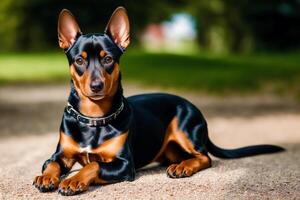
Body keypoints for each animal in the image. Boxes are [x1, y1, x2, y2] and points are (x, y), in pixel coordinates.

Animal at [32, 6, 284, 195]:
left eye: (108, 59)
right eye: (79, 60)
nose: (96, 86)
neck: (93, 118)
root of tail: (192, 105)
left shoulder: (125, 165)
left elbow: (94, 163)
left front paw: (73, 180)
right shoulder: (61, 156)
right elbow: (51, 163)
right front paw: (46, 177)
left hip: (184, 130)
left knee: (204, 157)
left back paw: (183, 167)